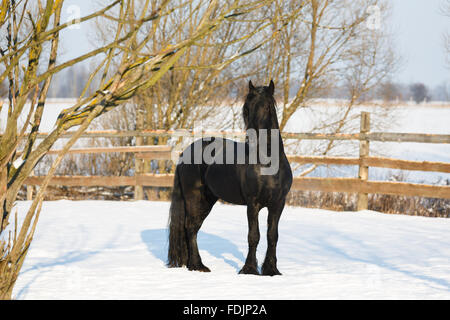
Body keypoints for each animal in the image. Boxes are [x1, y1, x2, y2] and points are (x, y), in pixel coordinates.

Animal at [168, 80, 292, 276]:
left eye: (266, 106)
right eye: (247, 107)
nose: (252, 138)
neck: (268, 165)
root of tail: (186, 152)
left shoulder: (278, 204)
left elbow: (272, 236)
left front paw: (271, 270)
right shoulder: (253, 204)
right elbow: (254, 236)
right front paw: (249, 269)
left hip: (208, 200)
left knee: (194, 227)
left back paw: (193, 265)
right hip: (194, 198)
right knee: (190, 227)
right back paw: (198, 265)